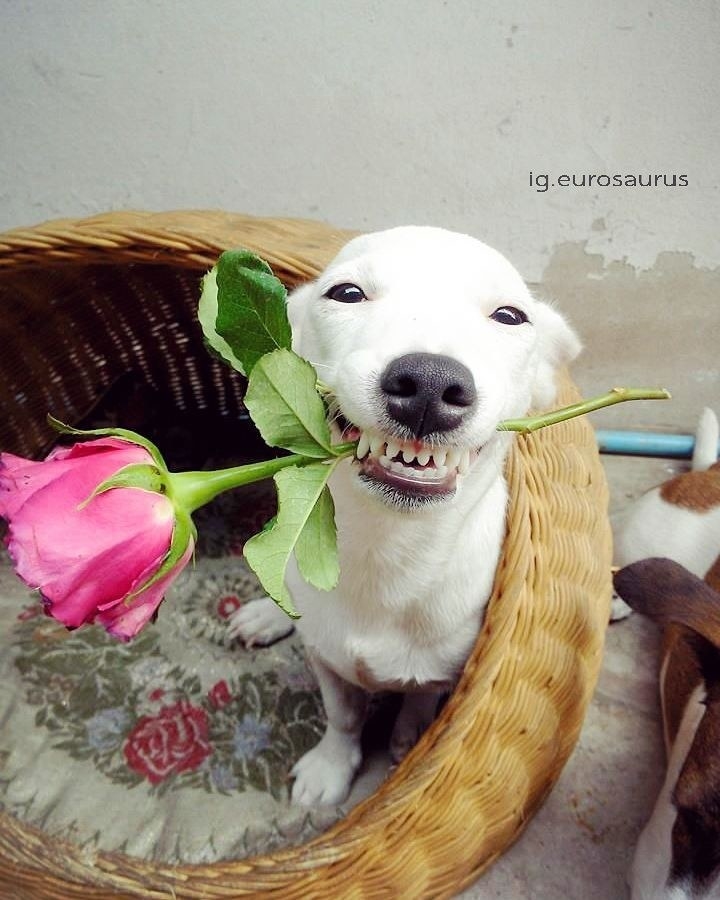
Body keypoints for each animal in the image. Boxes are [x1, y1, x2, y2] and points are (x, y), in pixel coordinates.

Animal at [229, 225, 580, 800]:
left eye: (510, 316)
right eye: (347, 293)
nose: (431, 385)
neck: (389, 547)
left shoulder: (445, 671)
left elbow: (418, 702)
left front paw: (406, 745)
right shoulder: (326, 659)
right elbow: (343, 715)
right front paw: (332, 766)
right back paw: (266, 612)